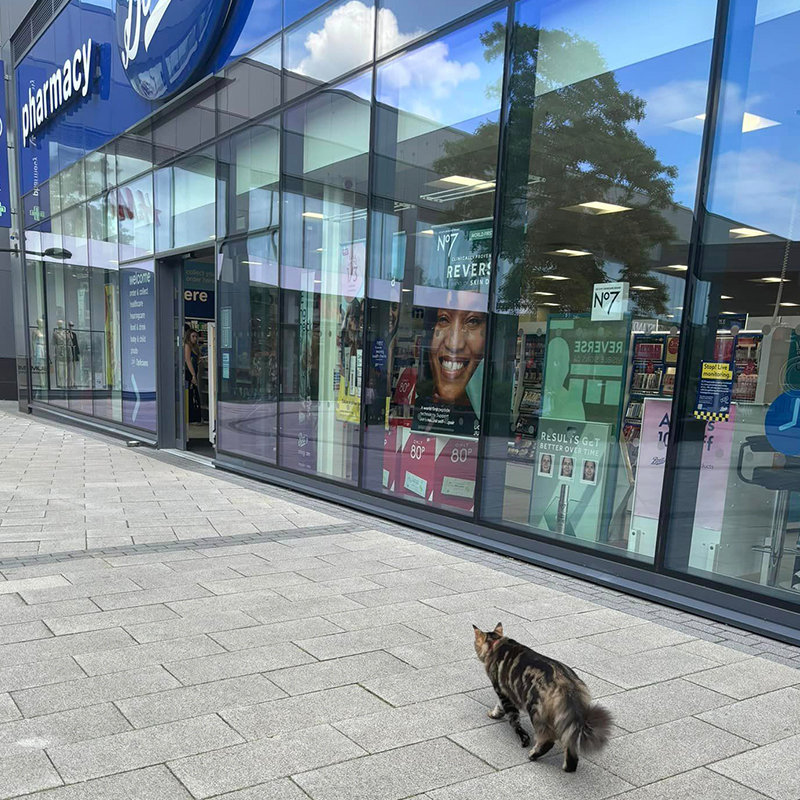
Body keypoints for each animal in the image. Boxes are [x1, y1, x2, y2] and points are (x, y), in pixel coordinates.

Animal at [476, 620, 612, 772]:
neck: (497, 644)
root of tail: (566, 682)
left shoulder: (503, 692)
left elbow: (513, 719)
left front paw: (521, 736)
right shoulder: (505, 693)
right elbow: (500, 707)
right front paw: (495, 714)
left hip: (535, 710)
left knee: (547, 740)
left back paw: (534, 754)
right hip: (565, 721)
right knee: (570, 745)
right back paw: (568, 767)